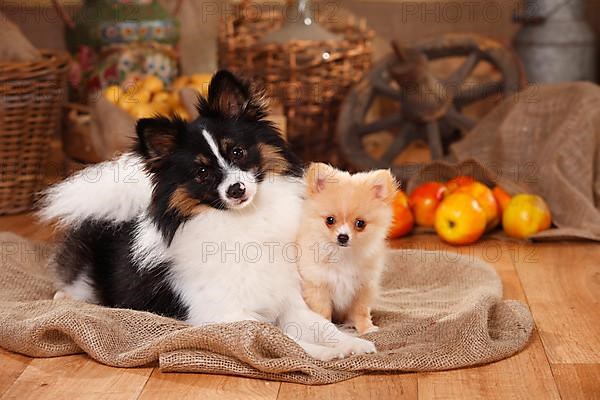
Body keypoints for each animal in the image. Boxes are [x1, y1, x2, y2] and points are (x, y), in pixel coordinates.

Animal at [42, 70, 378, 360]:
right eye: (202, 173)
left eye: (238, 152)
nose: (236, 189)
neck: (242, 221)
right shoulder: (229, 316)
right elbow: (282, 337)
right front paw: (323, 353)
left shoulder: (289, 302)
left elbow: (322, 326)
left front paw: (351, 344)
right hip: (87, 278)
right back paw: (65, 298)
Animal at [296, 162, 398, 334]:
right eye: (330, 220)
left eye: (360, 223)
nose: (343, 237)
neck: (342, 255)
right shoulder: (318, 286)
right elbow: (323, 311)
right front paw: (326, 328)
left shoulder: (363, 287)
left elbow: (361, 311)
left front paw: (366, 329)